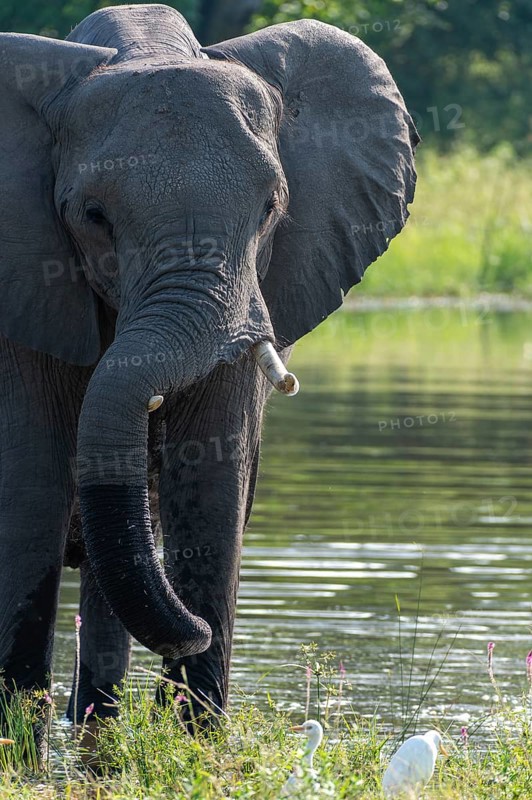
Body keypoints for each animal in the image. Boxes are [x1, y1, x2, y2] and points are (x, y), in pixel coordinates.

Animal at [0, 3, 418, 731]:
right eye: (92, 216)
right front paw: (17, 740)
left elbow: (215, 469)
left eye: (272, 207)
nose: (191, 631)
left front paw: (193, 737)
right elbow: (31, 483)